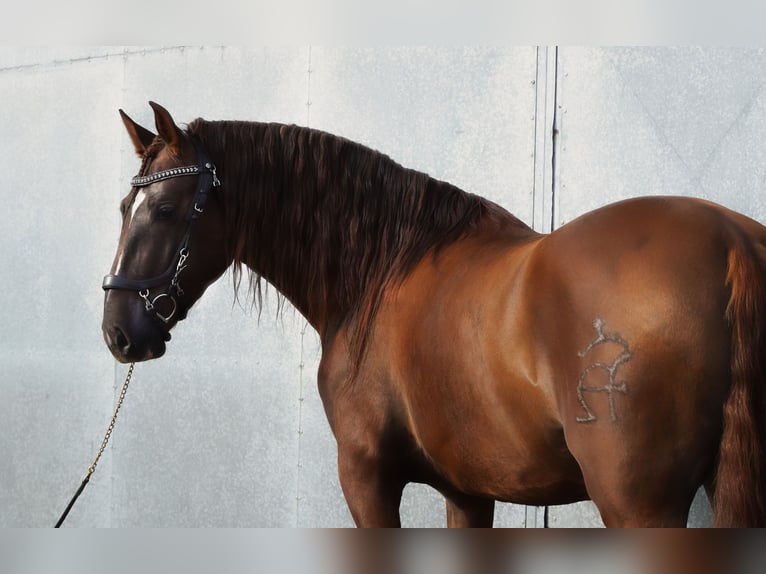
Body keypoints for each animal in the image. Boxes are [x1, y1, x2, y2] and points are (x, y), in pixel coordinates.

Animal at [102, 102, 766, 528]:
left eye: (164, 209)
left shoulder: (366, 477)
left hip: (636, 504)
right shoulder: (468, 491)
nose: (119, 332)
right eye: (123, 208)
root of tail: (731, 240)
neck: (379, 272)